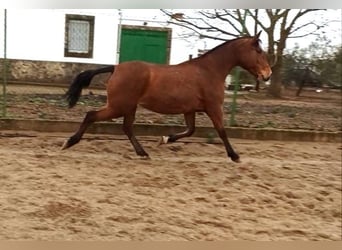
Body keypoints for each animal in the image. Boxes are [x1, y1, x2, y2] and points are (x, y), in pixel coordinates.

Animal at [61, 31, 272, 162]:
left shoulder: (190, 110)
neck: (209, 71)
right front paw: (235, 156)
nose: (267, 74)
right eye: (258, 50)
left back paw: (143, 153)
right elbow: (221, 131)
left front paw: (165, 139)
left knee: (126, 128)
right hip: (119, 106)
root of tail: (116, 67)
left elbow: (191, 131)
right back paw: (68, 142)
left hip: (128, 107)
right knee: (91, 115)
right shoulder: (214, 108)